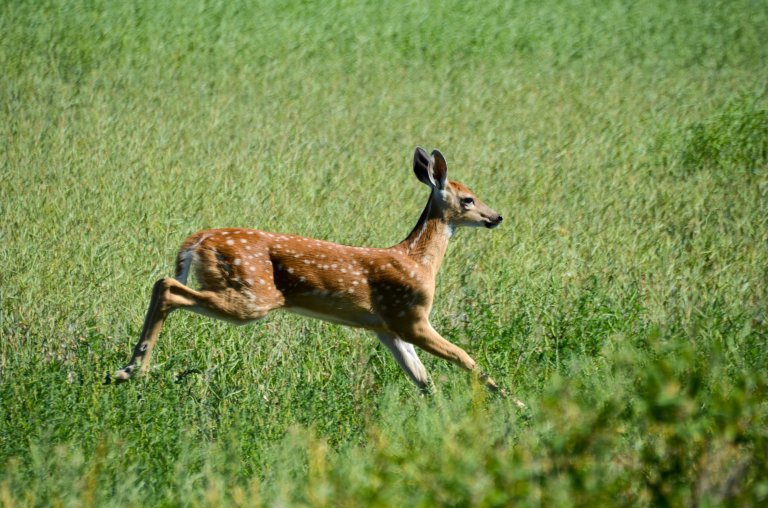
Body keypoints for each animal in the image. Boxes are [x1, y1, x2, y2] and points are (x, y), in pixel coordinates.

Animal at [111, 148, 520, 404]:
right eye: (468, 199)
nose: (496, 216)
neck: (419, 261)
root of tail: (199, 239)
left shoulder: (385, 327)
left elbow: (422, 379)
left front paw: (439, 416)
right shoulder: (411, 316)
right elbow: (466, 359)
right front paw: (515, 405)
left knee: (163, 284)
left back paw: (129, 368)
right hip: (251, 294)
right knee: (167, 286)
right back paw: (132, 370)